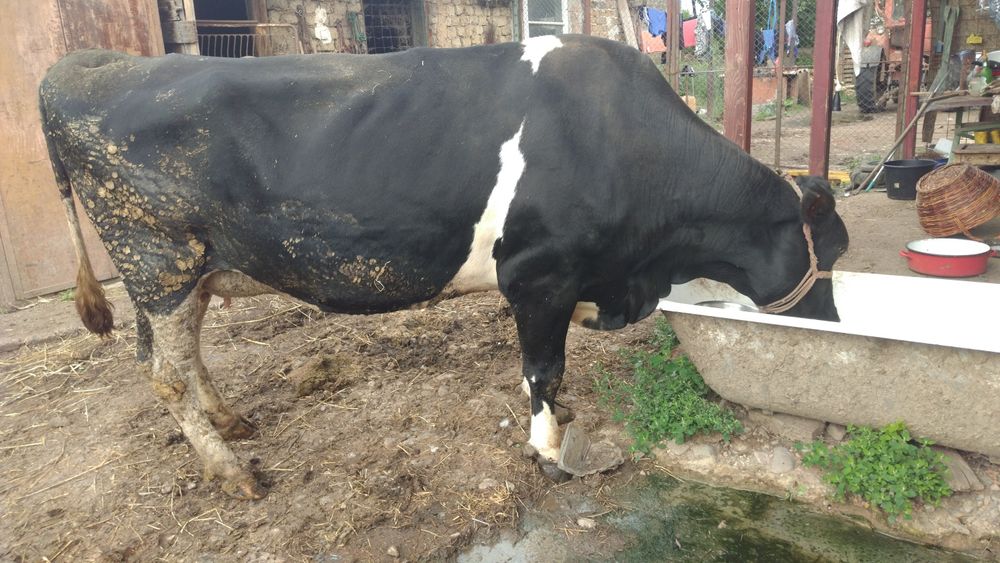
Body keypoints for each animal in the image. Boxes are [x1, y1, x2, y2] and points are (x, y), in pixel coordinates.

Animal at [40, 35, 849, 499]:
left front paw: (564, 426)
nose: (836, 329)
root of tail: (89, 68)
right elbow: (544, 369)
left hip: (190, 272)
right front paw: (549, 449)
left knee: (181, 356)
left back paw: (232, 423)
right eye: (834, 252)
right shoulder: (538, 275)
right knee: (167, 374)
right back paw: (233, 472)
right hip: (160, 259)